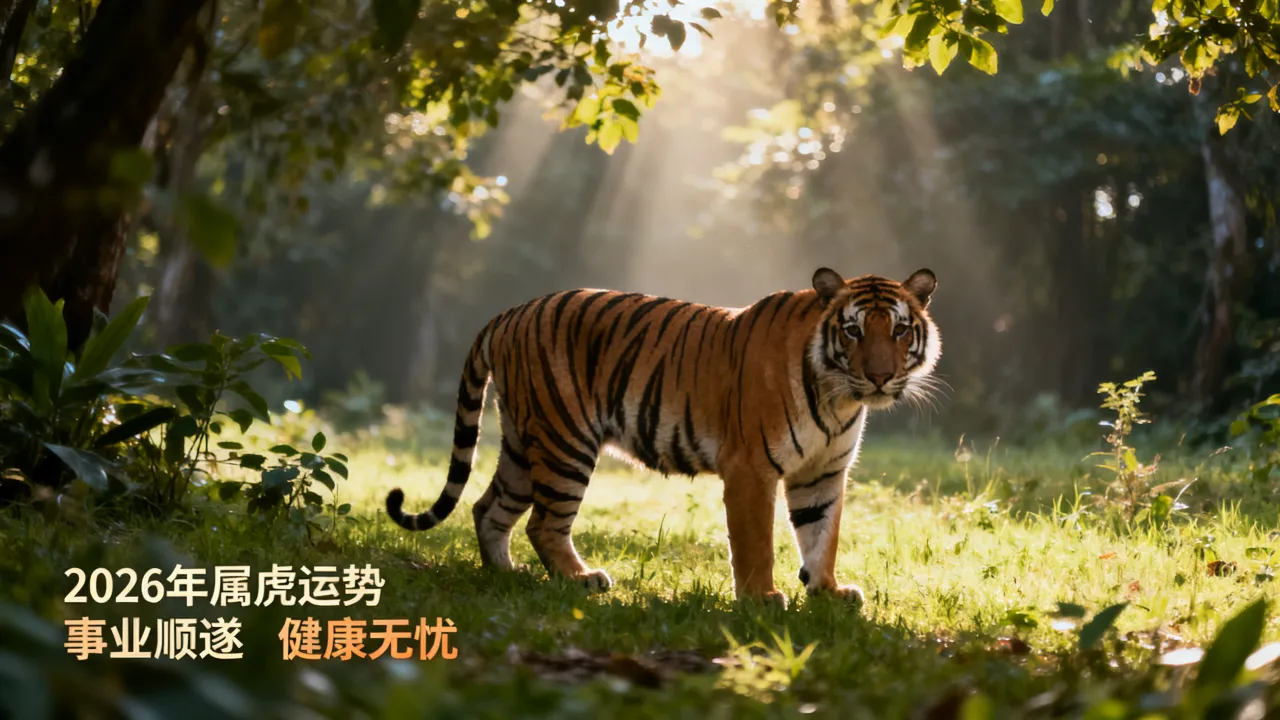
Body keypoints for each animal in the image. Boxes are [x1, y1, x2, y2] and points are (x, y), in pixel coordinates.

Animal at [385, 267, 941, 606]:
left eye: (898, 330)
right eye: (853, 331)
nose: (879, 377)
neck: (839, 396)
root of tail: (508, 313)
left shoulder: (822, 474)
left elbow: (822, 535)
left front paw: (827, 591)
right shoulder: (751, 469)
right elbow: (757, 542)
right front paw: (761, 600)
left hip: (525, 443)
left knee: (488, 508)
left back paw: (505, 574)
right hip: (565, 441)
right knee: (543, 524)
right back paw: (581, 580)